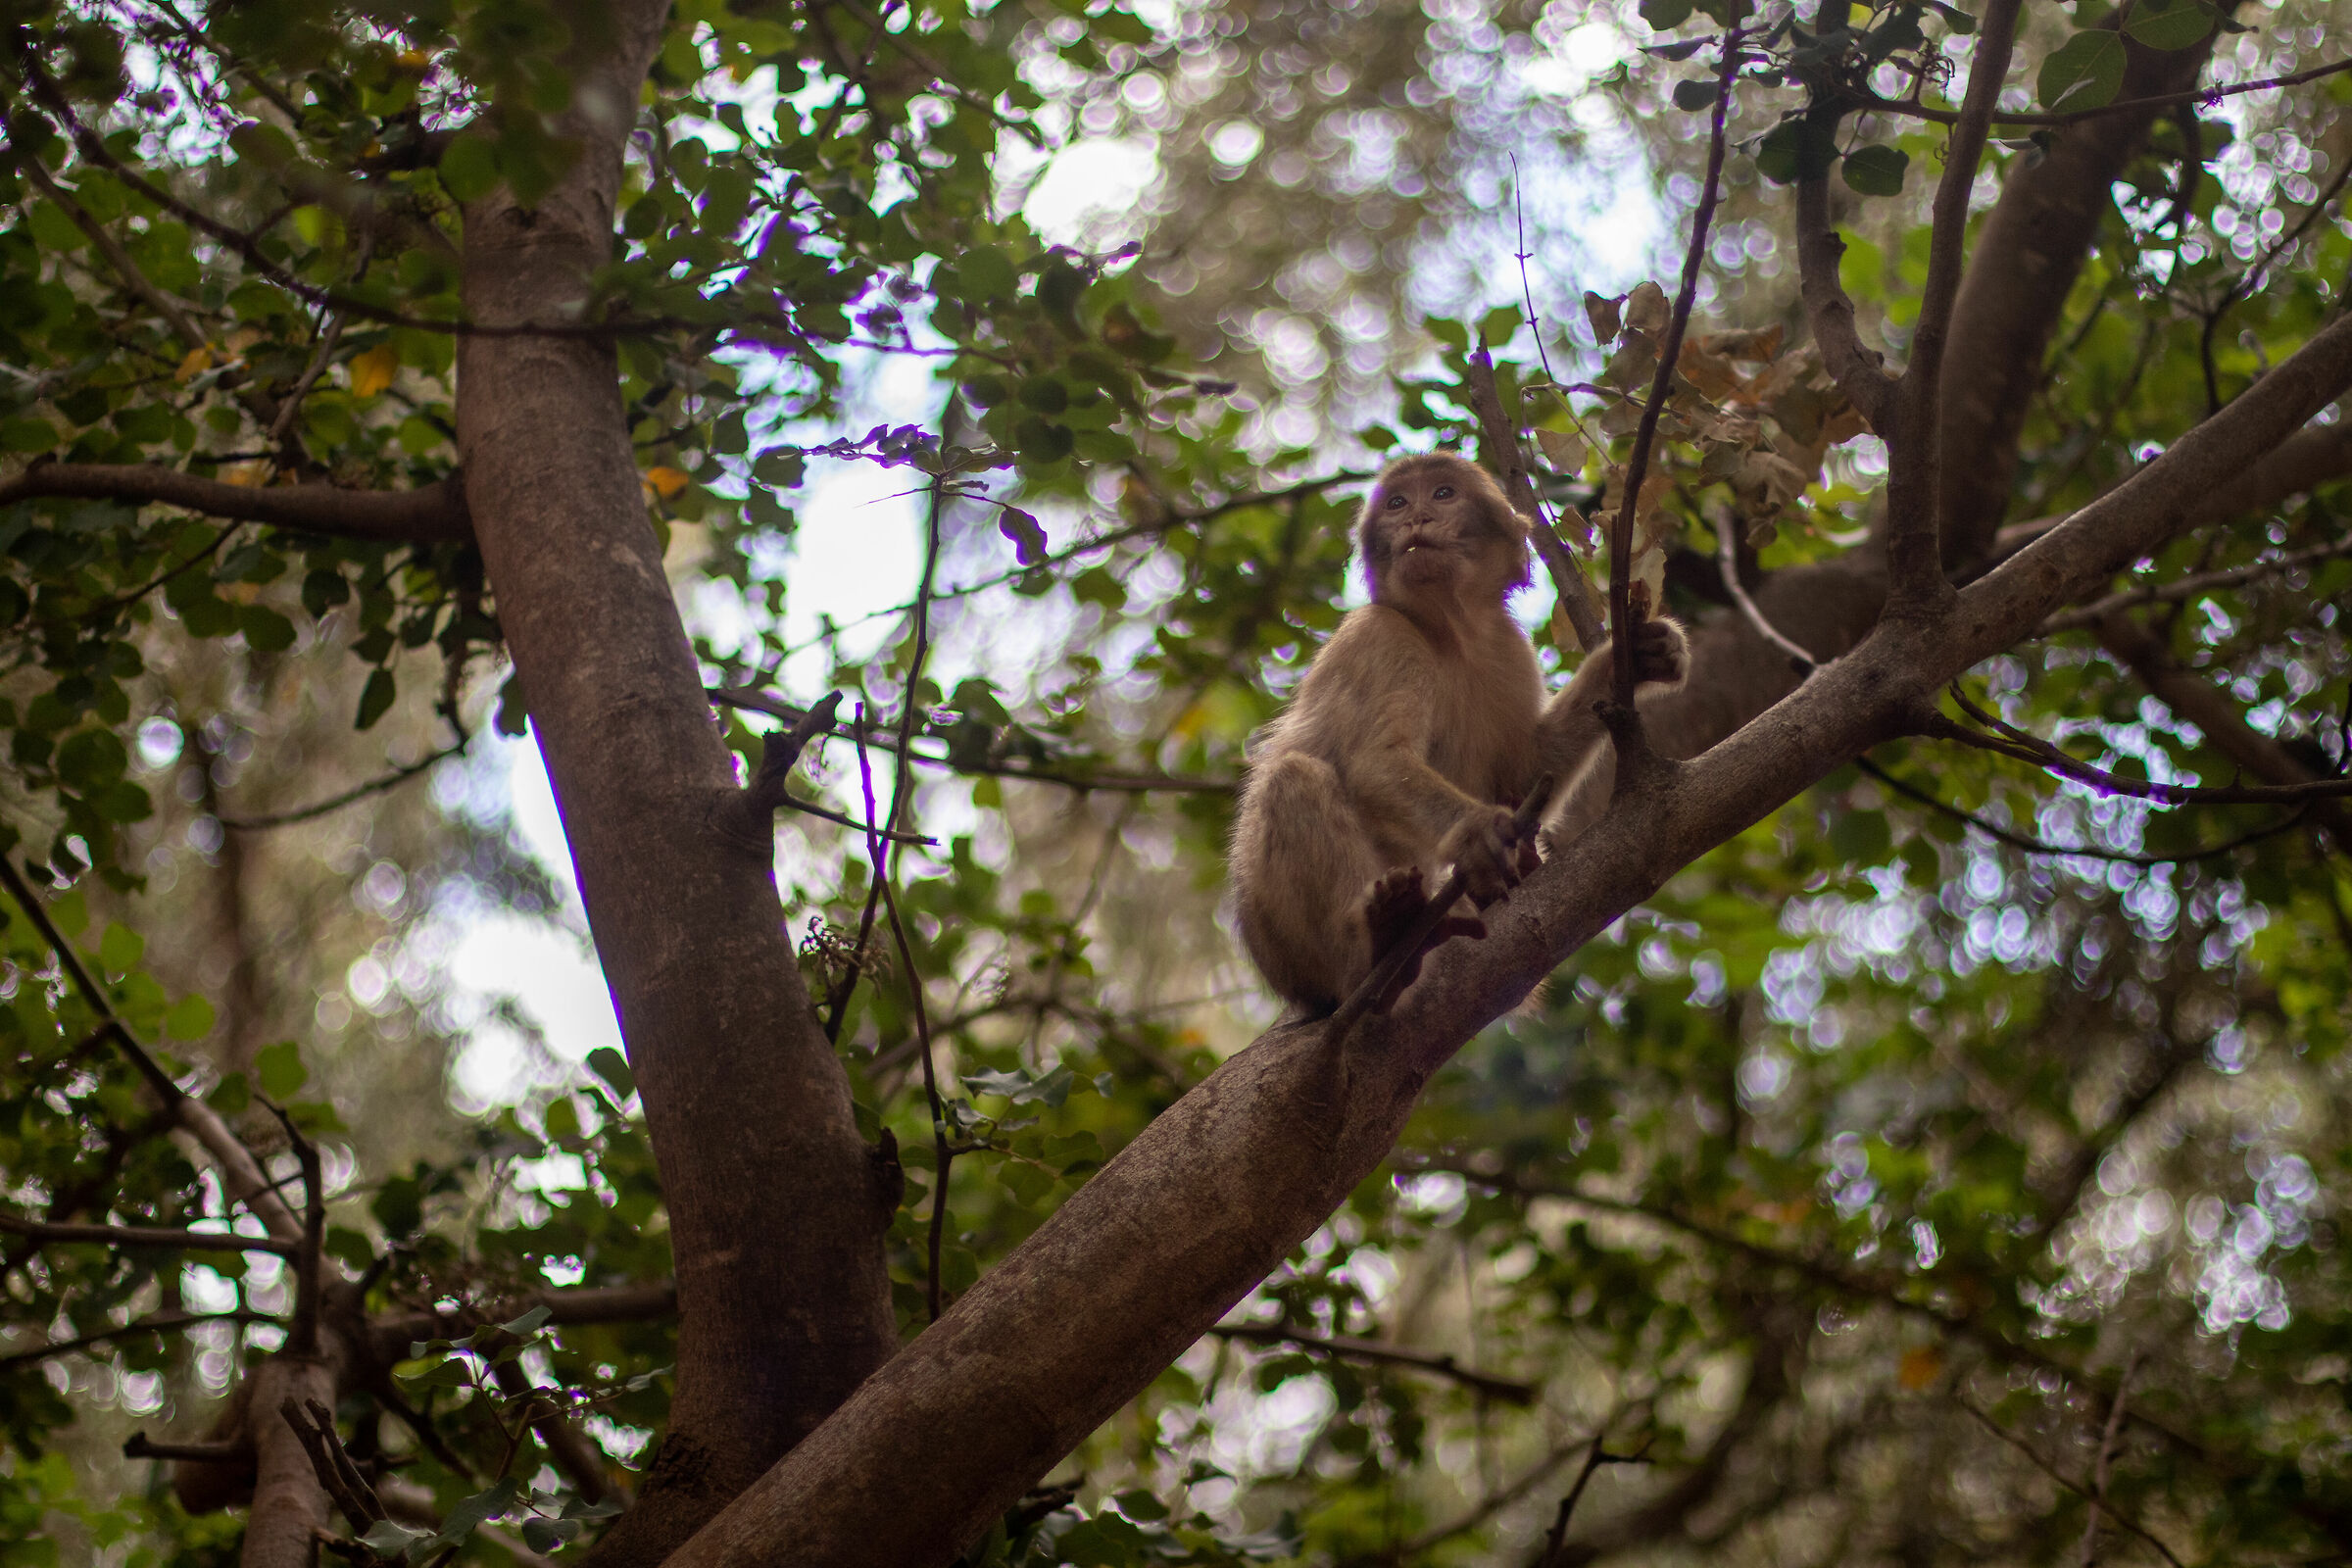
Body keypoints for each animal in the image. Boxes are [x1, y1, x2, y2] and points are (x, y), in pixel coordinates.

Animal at [1228, 452, 1689, 1016]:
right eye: (1398, 502)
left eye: (1443, 494)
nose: (1416, 517)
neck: (1449, 632)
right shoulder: (1379, 636)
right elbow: (1374, 763)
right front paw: (1477, 832)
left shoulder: (1507, 648)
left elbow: (1526, 774)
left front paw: (1636, 656)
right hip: (1281, 947)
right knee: (1293, 778)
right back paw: (1374, 952)